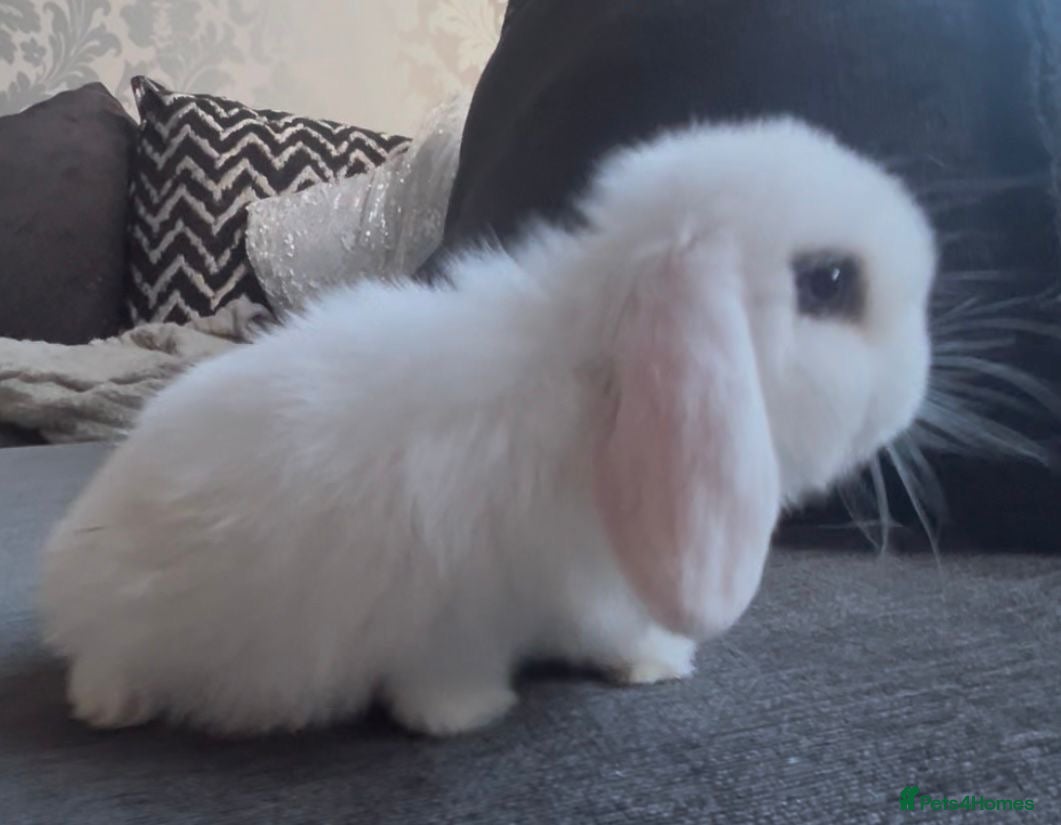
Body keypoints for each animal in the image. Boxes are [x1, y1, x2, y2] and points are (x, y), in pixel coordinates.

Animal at [39, 118, 936, 738]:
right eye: (829, 281)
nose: (912, 385)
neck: (595, 389)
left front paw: (645, 663)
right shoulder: (458, 602)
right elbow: (450, 674)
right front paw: (473, 713)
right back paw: (114, 705)